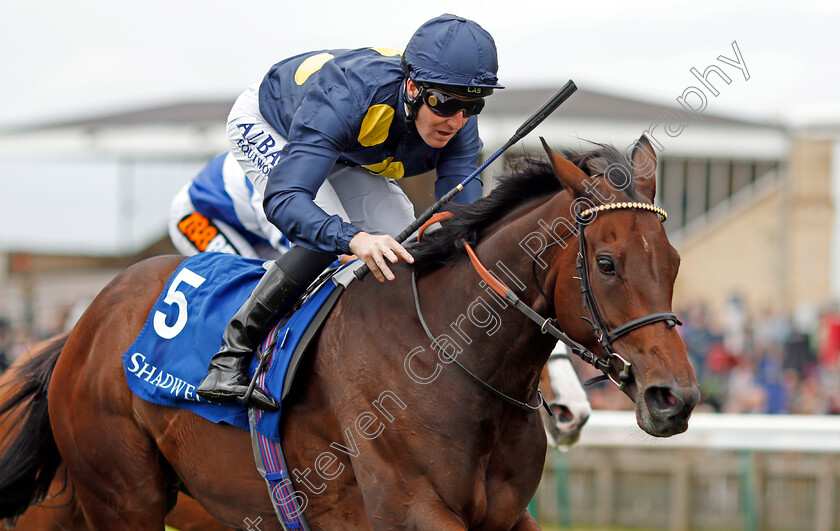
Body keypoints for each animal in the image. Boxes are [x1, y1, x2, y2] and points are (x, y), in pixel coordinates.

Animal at [0, 136, 700, 528]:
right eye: (606, 263)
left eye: (673, 263)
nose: (675, 398)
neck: (448, 356)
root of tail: (79, 330)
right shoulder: (411, 511)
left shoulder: (502, 519)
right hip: (123, 498)